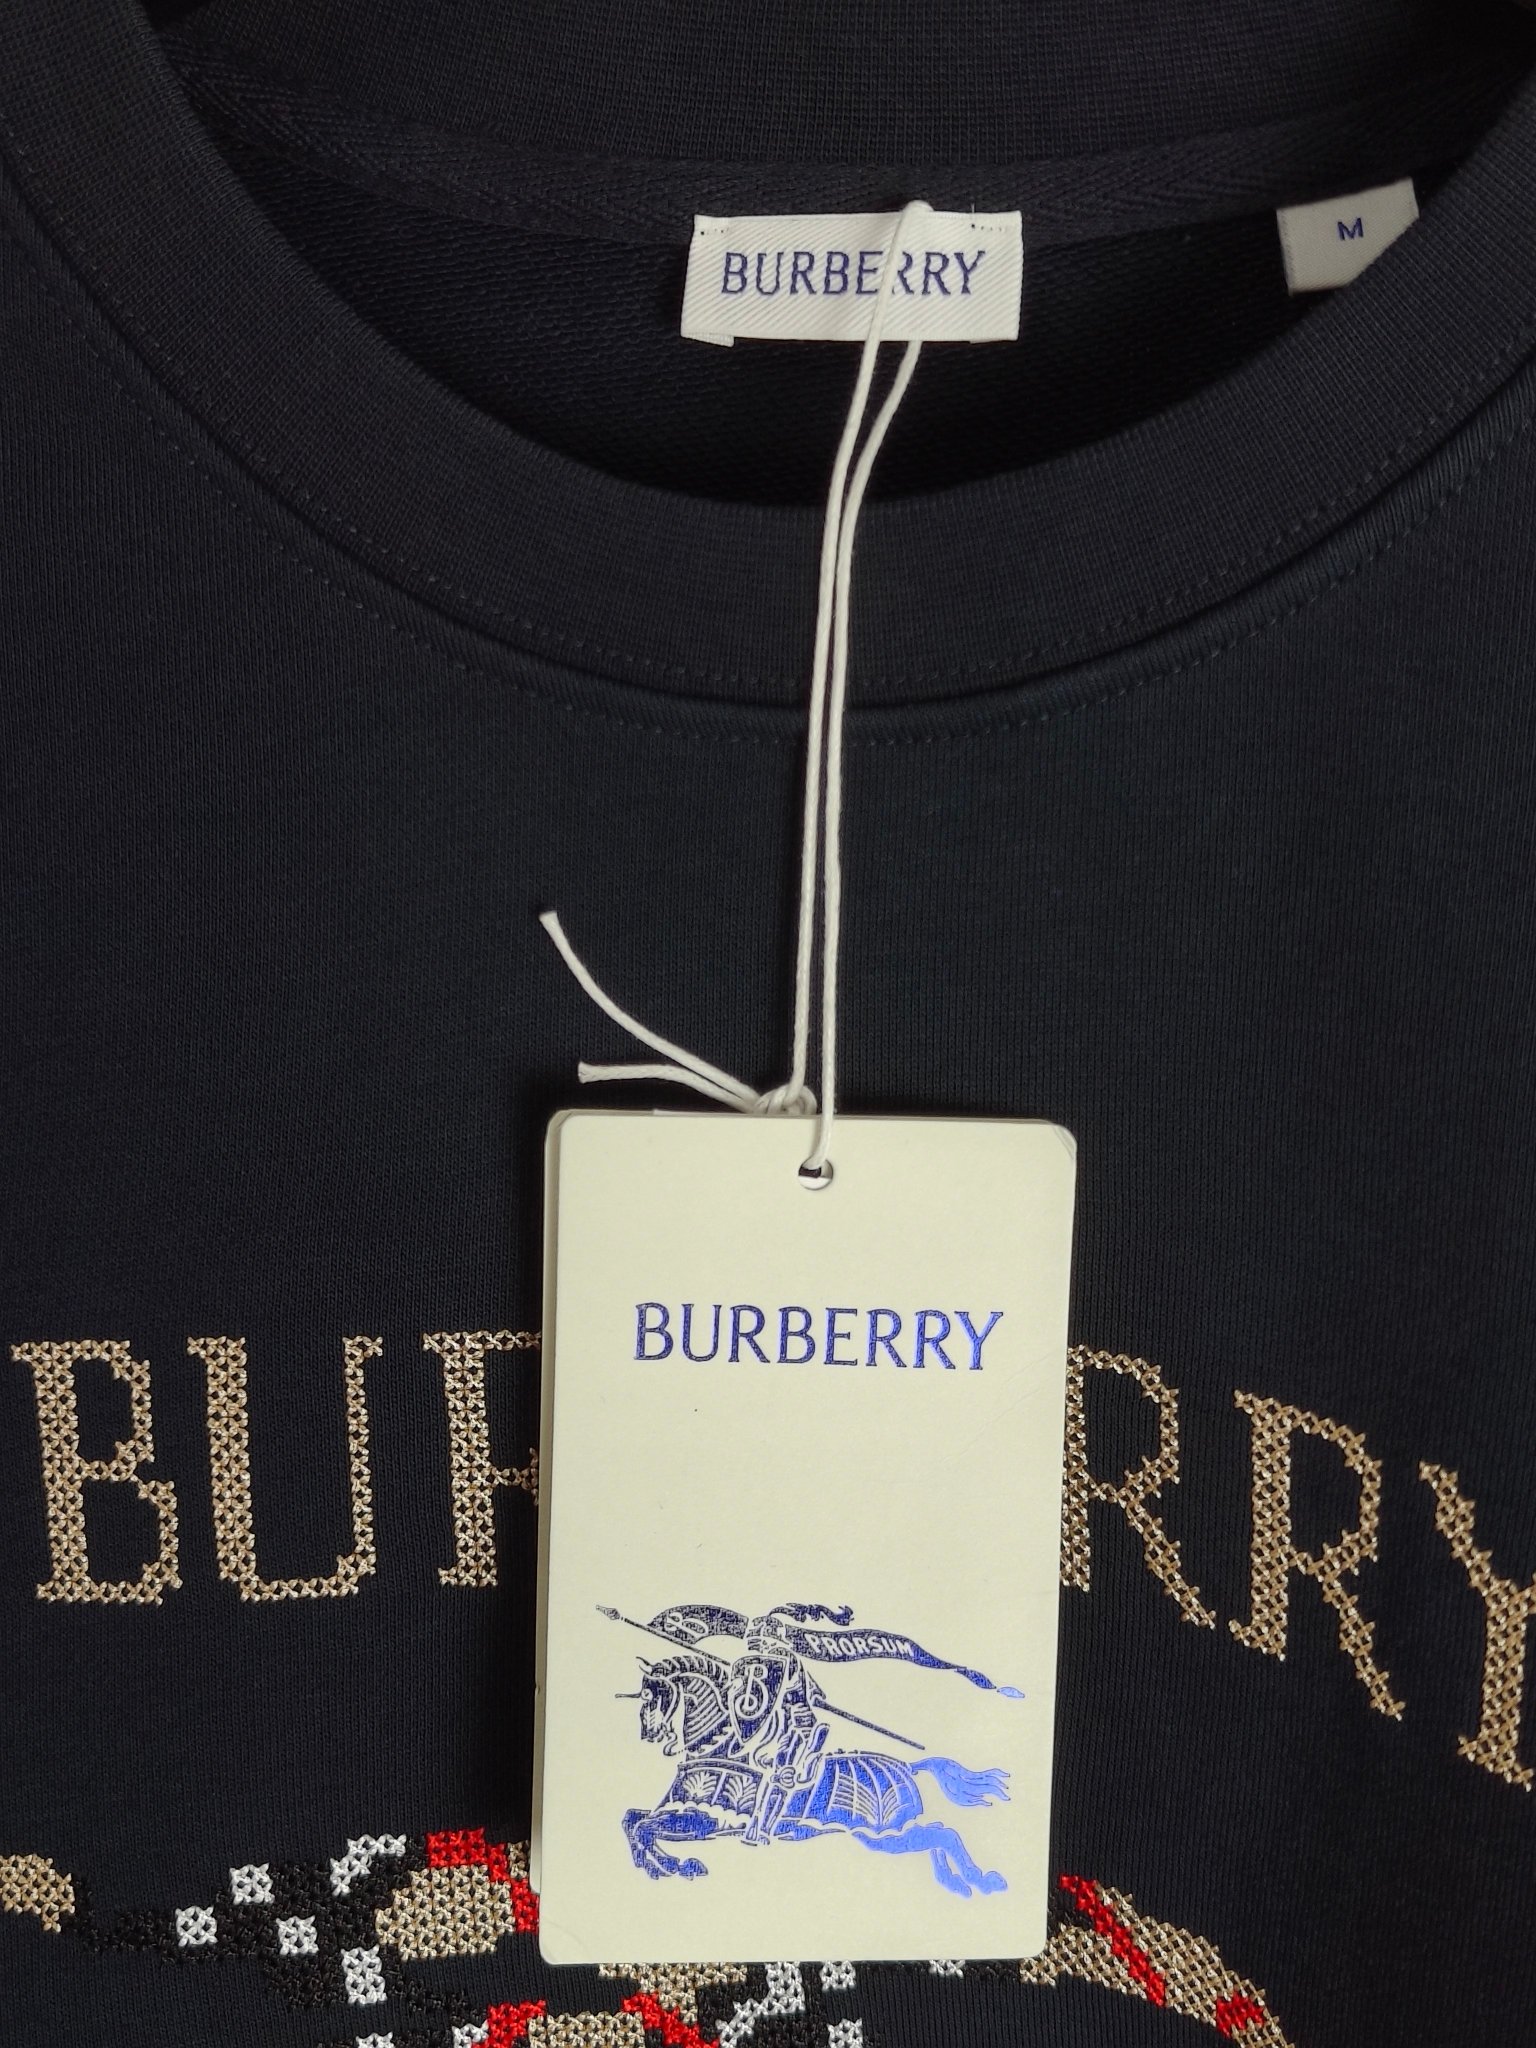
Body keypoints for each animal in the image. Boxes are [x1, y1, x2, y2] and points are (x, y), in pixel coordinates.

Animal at [622, 1654, 1010, 1899]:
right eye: (641, 1695)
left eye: (652, 1695)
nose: (648, 1734)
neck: (723, 1746)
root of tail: (910, 1766)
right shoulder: (678, 1812)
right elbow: (632, 1821)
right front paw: (659, 1867)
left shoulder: (705, 1820)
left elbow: (643, 1828)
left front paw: (677, 1865)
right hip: (883, 1837)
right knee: (937, 1837)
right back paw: (959, 1883)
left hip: (883, 1833)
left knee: (944, 1836)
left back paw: (981, 1881)